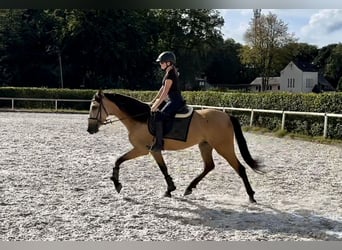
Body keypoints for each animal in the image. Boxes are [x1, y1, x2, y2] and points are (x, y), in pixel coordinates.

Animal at [87, 90, 264, 203]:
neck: (140, 119)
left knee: (240, 168)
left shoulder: (143, 149)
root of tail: (227, 115)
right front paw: (170, 188)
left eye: (94, 107)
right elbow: (162, 168)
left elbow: (119, 160)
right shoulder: (153, 151)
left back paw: (251, 196)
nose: (90, 129)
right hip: (205, 146)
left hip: (223, 147)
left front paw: (116, 183)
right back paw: (189, 188)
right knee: (209, 166)